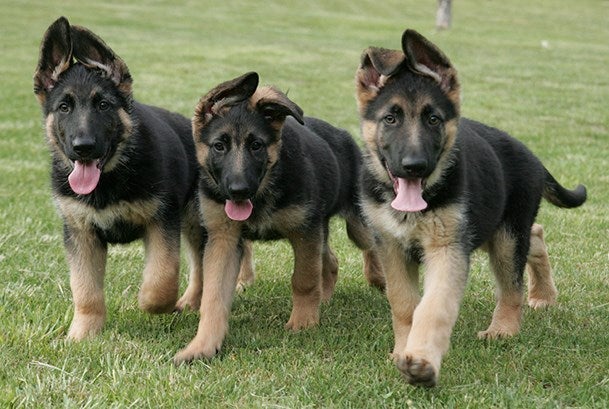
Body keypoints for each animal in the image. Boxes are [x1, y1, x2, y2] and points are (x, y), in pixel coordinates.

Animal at [34, 16, 208, 338]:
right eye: (64, 107)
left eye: (103, 105)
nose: (84, 147)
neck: (110, 179)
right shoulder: (81, 234)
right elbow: (85, 289)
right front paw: (82, 334)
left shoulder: (161, 222)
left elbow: (162, 277)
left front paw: (151, 303)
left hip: (196, 220)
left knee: (204, 263)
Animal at [171, 71, 382, 362]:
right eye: (219, 146)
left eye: (257, 145)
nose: (239, 191)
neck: (263, 190)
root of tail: (343, 134)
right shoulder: (224, 239)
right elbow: (213, 297)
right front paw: (202, 346)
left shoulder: (304, 233)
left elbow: (304, 280)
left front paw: (303, 323)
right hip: (320, 227)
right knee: (330, 260)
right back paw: (325, 297)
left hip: (354, 224)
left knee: (371, 244)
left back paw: (379, 281)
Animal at [354, 29, 588, 386]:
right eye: (390, 118)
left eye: (433, 119)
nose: (414, 166)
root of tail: (531, 155)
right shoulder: (391, 247)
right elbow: (404, 303)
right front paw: (402, 349)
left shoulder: (448, 249)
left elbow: (433, 307)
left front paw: (422, 359)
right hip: (497, 228)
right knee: (535, 235)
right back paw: (543, 295)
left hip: (505, 238)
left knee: (512, 285)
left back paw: (504, 329)